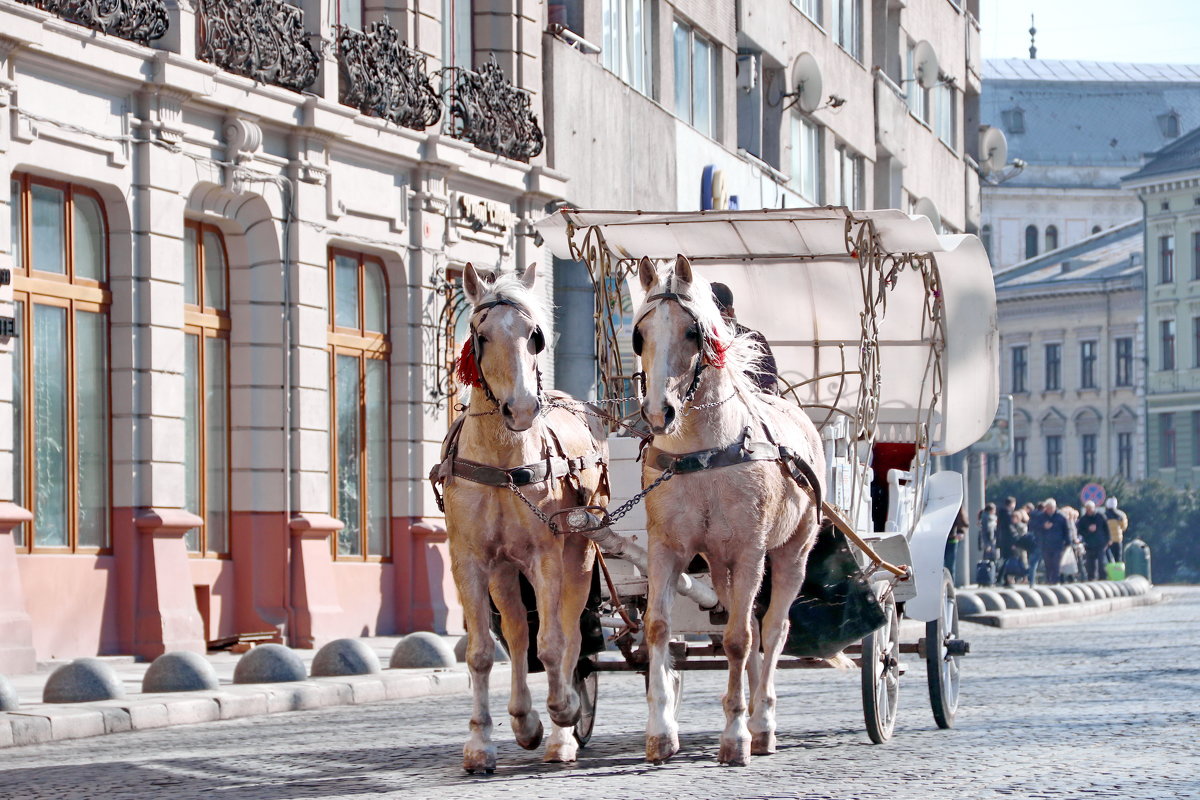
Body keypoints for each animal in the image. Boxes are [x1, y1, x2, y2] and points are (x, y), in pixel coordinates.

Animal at [436, 262, 609, 767]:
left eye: (535, 335)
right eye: (481, 334)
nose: (523, 408)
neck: (503, 461)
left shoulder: (545, 556)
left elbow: (552, 644)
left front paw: (563, 712)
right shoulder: (471, 561)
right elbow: (481, 652)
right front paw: (480, 744)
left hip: (579, 554)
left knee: (570, 632)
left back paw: (561, 731)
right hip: (504, 570)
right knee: (515, 632)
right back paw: (524, 720)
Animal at [638, 255, 825, 762]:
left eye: (692, 332)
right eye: (640, 333)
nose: (658, 413)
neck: (703, 453)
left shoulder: (749, 552)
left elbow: (738, 641)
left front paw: (736, 734)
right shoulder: (667, 549)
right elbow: (658, 628)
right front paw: (661, 731)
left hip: (789, 554)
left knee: (773, 629)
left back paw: (762, 723)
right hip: (721, 566)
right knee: (756, 630)